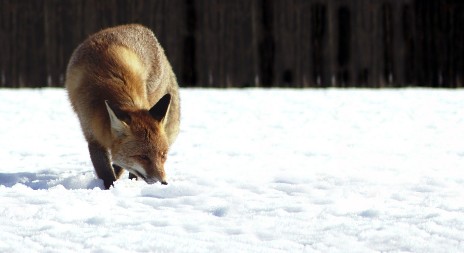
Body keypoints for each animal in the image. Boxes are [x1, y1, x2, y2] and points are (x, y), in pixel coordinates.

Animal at [65, 24, 179, 190]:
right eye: (143, 157)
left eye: (163, 155)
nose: (163, 183)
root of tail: (142, 28)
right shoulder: (93, 136)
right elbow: (106, 172)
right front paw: (109, 188)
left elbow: (121, 165)